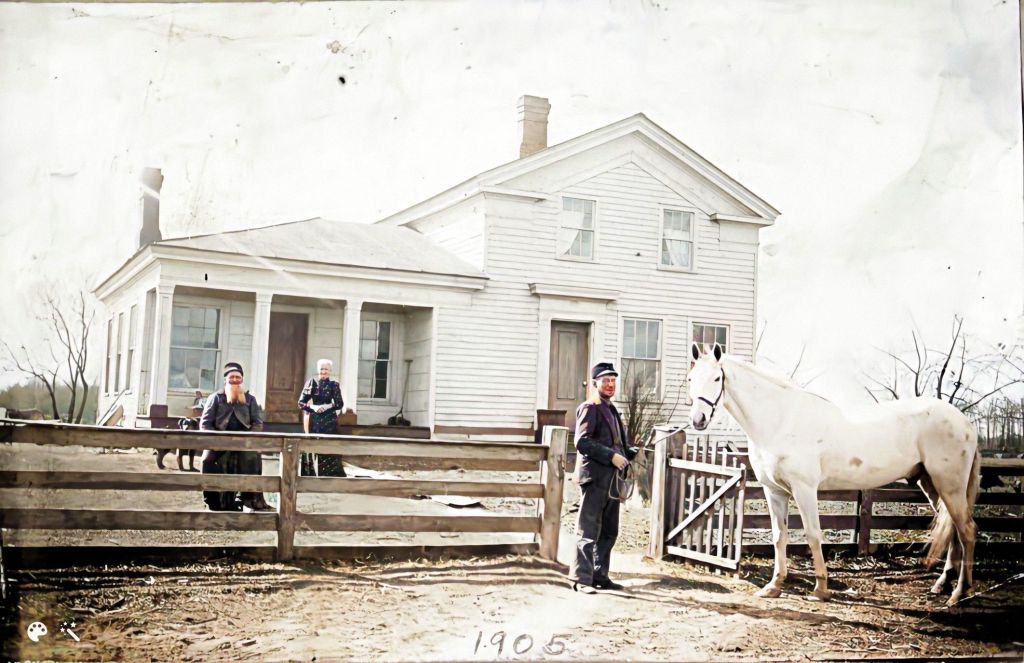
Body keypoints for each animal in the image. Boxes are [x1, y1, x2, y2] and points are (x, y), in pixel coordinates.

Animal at [687, 342, 979, 605]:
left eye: (717, 378)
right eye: (690, 378)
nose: (698, 420)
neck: (781, 420)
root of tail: (965, 423)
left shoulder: (804, 489)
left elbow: (813, 534)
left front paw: (820, 589)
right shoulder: (775, 492)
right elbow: (779, 536)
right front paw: (774, 586)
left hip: (949, 485)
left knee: (966, 530)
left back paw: (958, 593)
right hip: (930, 484)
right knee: (954, 529)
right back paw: (942, 585)